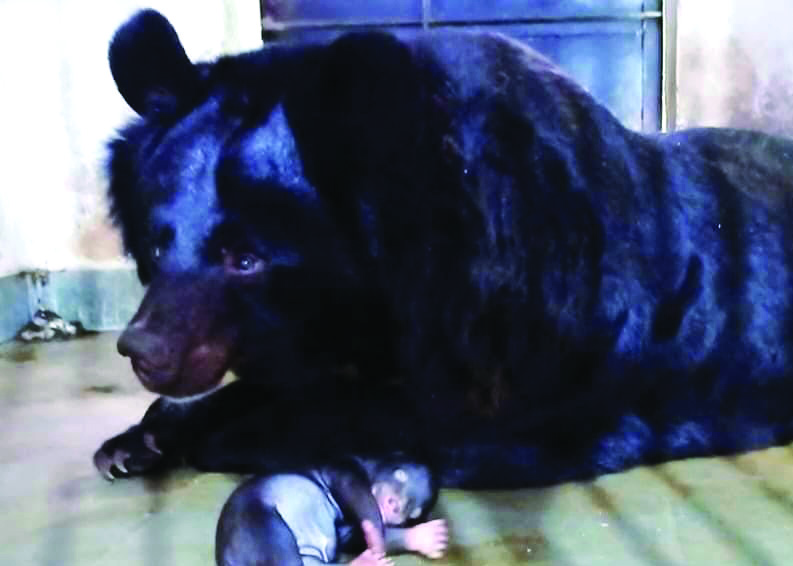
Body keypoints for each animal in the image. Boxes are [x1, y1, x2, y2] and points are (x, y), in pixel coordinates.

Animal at [95, 9, 793, 489]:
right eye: (157, 244)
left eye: (245, 258)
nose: (143, 349)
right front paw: (137, 440)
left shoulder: (546, 362)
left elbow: (405, 415)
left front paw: (218, 433)